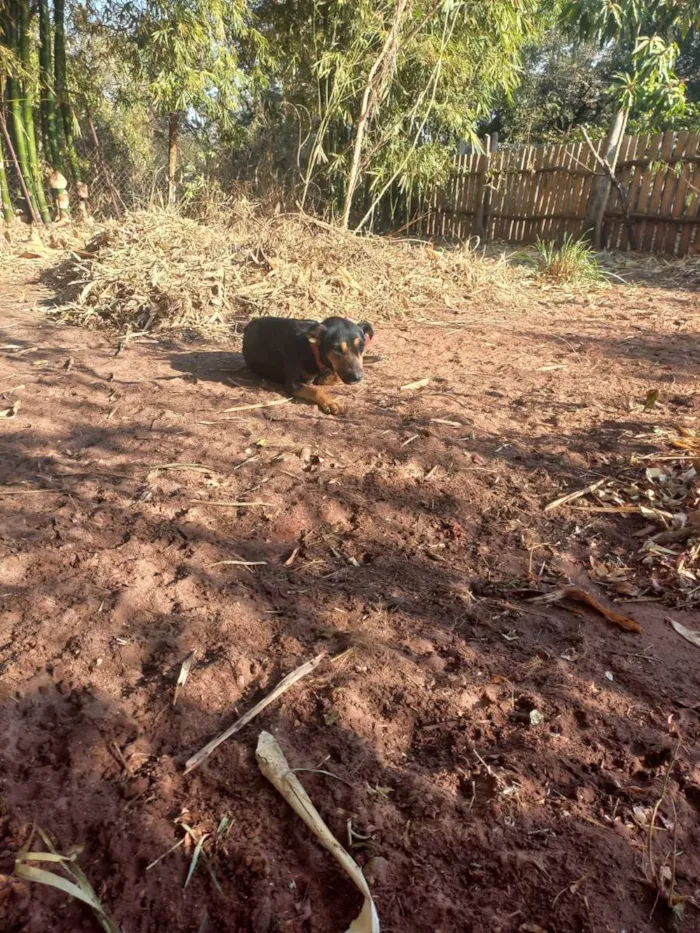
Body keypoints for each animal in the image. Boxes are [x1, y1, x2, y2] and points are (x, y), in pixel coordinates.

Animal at [241, 314, 372, 414]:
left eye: (361, 346)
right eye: (336, 348)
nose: (357, 377)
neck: (312, 348)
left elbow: (332, 378)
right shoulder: (293, 384)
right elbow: (315, 389)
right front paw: (330, 402)